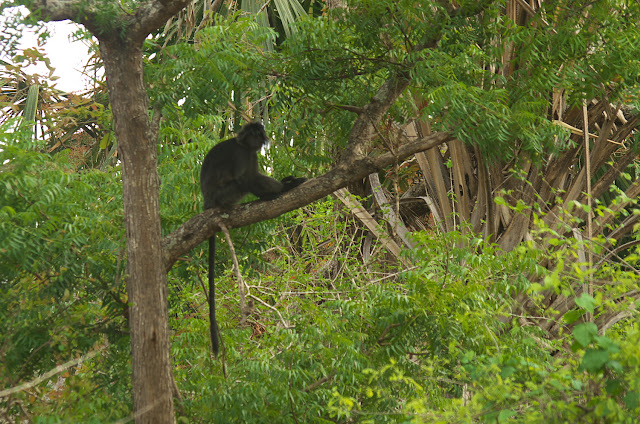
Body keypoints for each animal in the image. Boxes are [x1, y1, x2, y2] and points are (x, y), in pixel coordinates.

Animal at [201, 121, 306, 354]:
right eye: (255, 134)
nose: (259, 139)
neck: (242, 144)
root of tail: (208, 201)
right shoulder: (243, 154)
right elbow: (245, 178)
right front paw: (287, 185)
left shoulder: (250, 154)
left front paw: (288, 181)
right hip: (225, 195)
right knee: (243, 182)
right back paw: (272, 194)